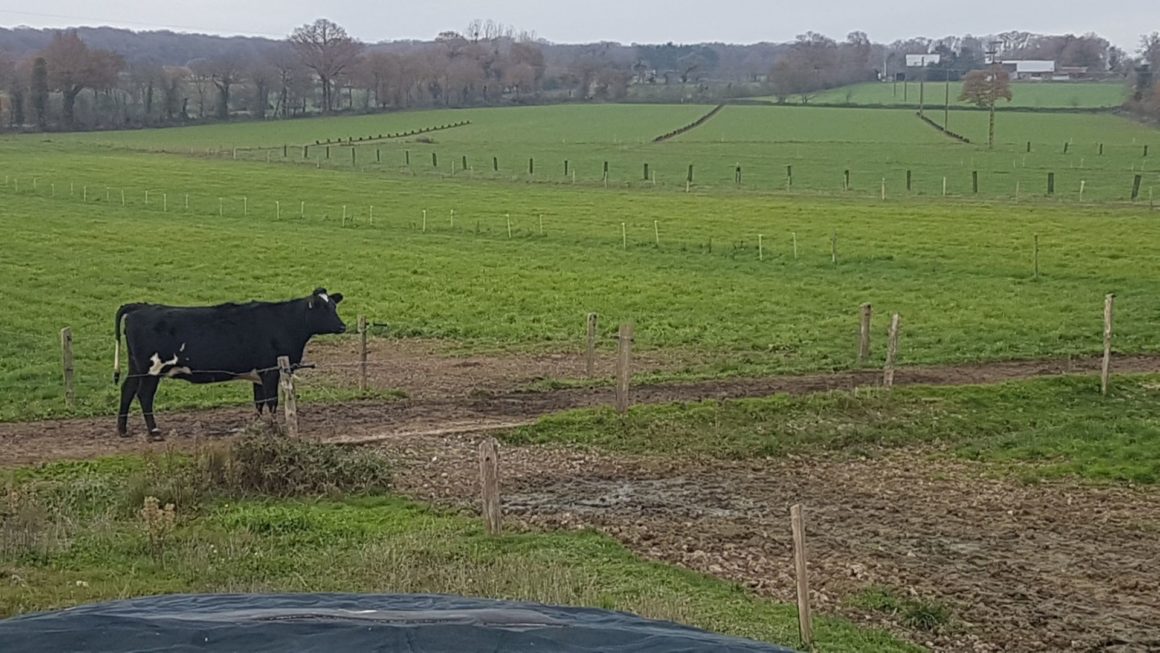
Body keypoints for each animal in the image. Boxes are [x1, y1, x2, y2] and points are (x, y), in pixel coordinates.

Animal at [112, 288, 348, 443]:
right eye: (322, 308)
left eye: (334, 305)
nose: (342, 326)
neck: (285, 322)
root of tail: (141, 307)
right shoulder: (271, 371)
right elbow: (271, 401)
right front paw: (274, 428)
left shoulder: (259, 374)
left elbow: (258, 402)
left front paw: (257, 426)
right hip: (151, 370)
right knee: (144, 395)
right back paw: (154, 432)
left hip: (136, 367)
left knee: (127, 389)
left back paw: (122, 430)